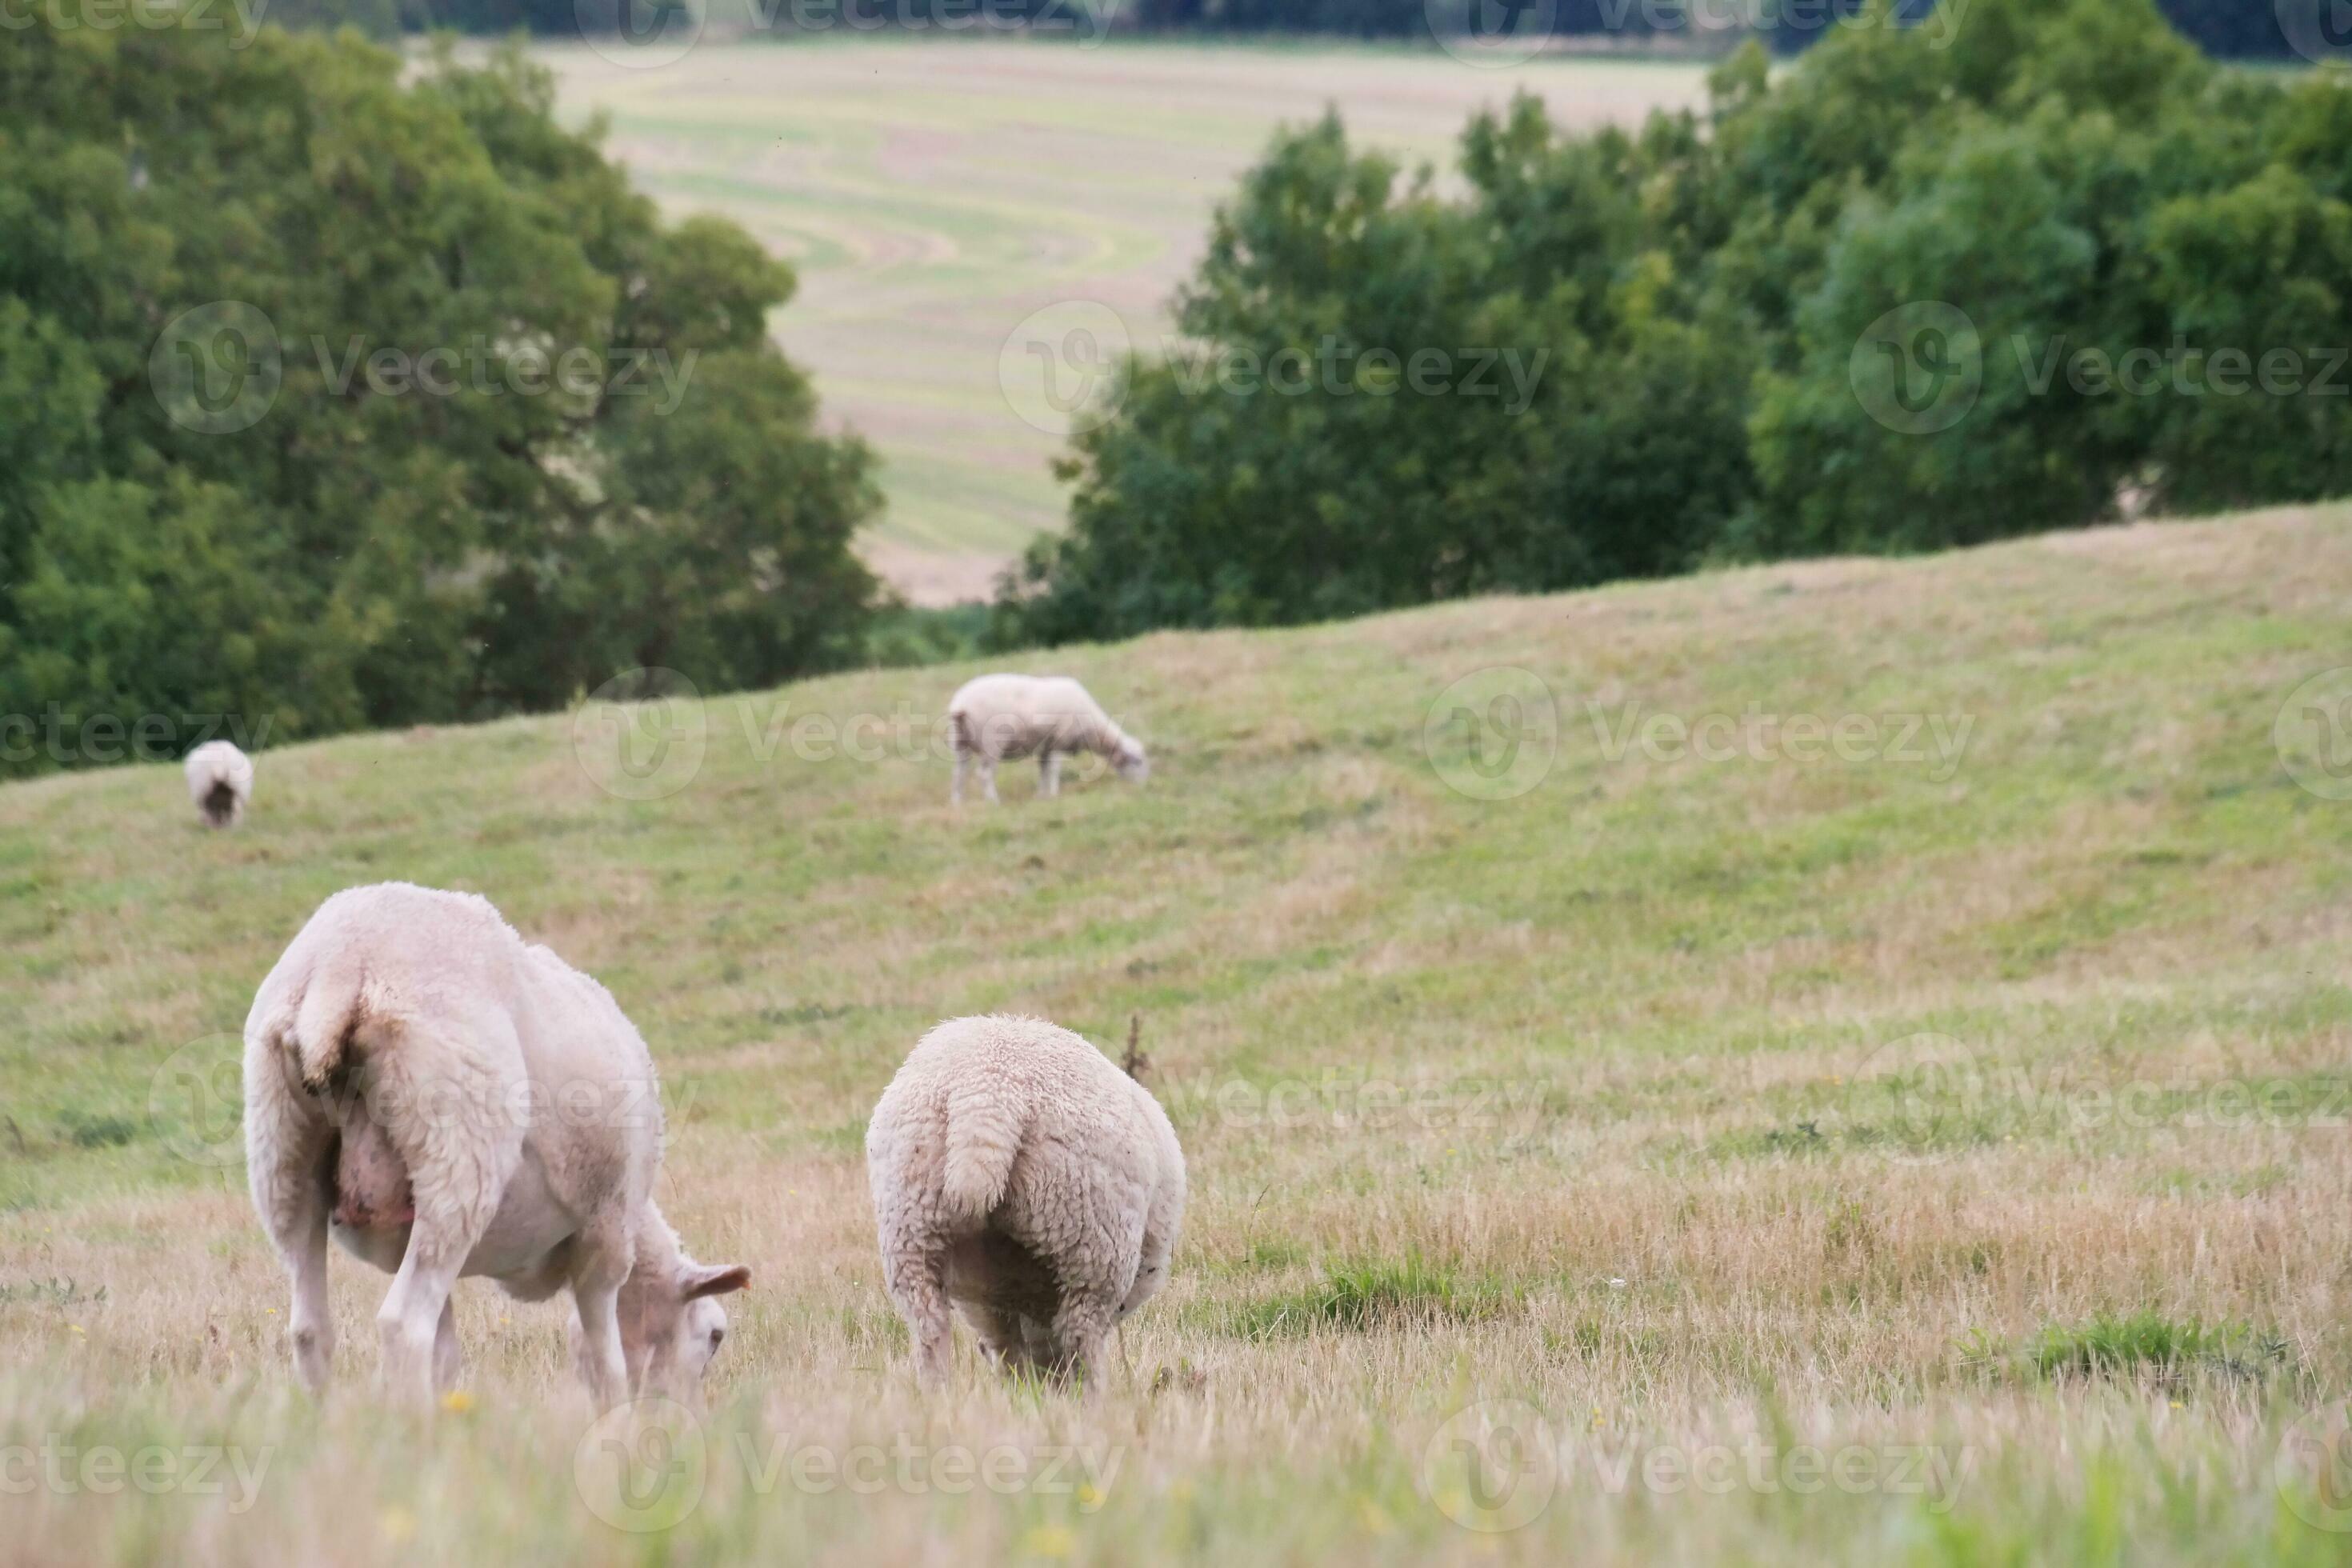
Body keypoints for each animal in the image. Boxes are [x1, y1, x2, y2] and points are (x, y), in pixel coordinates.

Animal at [242, 881, 748, 1409]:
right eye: (715, 1335)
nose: (689, 1416)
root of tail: (344, 965)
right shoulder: (606, 1231)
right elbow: (605, 1358)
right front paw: (615, 1416)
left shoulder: (405, 1236)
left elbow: (445, 1357)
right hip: (459, 1150)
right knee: (403, 1324)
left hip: (282, 1149)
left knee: (309, 1328)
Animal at [866, 1015, 1185, 1392]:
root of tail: (987, 1090)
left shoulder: (994, 1305)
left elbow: (1008, 1351)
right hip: (1091, 1240)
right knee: (1080, 1336)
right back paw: (1092, 1396)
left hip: (911, 1227)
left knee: (929, 1328)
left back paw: (936, 1395)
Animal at [947, 674, 1148, 805]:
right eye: (1138, 761)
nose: (1145, 786)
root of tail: (961, 703)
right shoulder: (1060, 739)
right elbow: (1054, 769)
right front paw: (1054, 793)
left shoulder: (1047, 745)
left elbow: (1043, 769)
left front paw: (1042, 795)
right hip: (991, 741)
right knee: (984, 774)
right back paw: (994, 801)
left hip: (960, 743)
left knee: (959, 774)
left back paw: (957, 803)